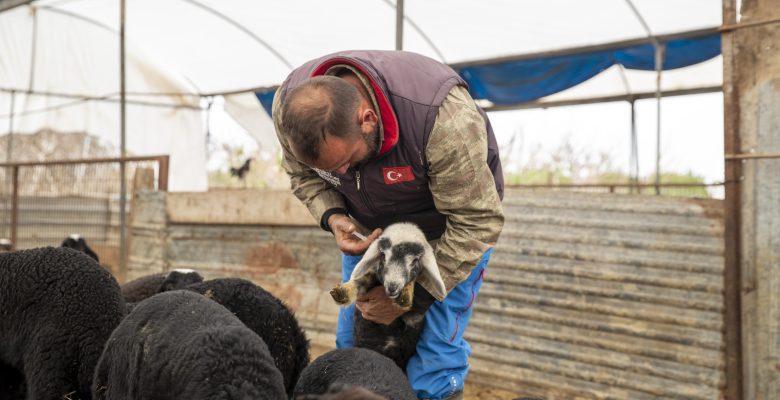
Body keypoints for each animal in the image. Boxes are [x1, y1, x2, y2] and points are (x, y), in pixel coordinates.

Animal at [328, 222, 444, 368]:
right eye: (383, 255)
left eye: (415, 261)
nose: (392, 287)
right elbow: (361, 280)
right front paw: (342, 292)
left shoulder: (414, 317)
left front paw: (405, 296)